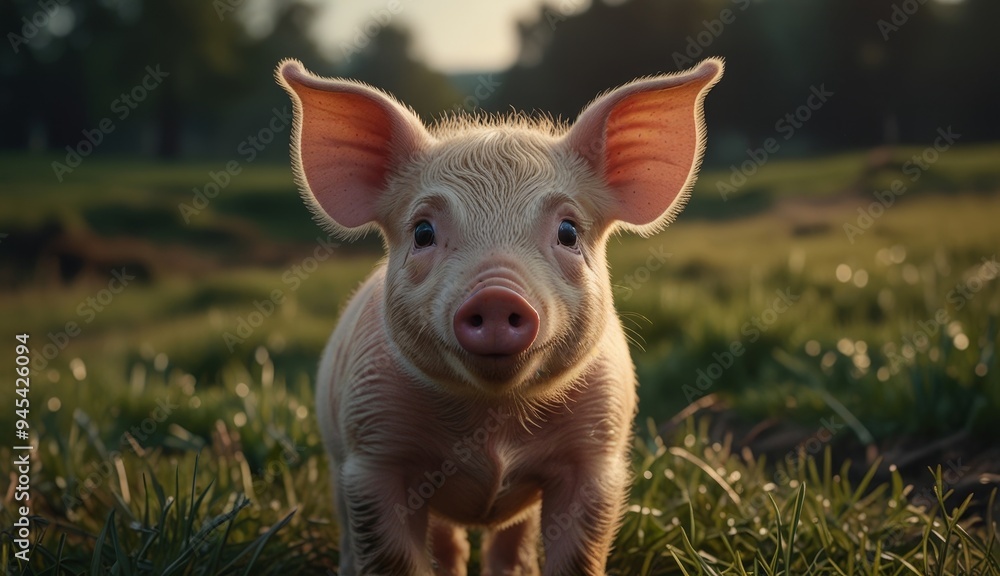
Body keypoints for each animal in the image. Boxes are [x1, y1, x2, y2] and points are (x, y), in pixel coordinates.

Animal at [276, 57, 723, 575]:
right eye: (423, 231)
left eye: (568, 231)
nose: (494, 295)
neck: (496, 420)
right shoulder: (371, 453)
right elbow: (392, 556)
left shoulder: (598, 455)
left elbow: (579, 555)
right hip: (336, 462)